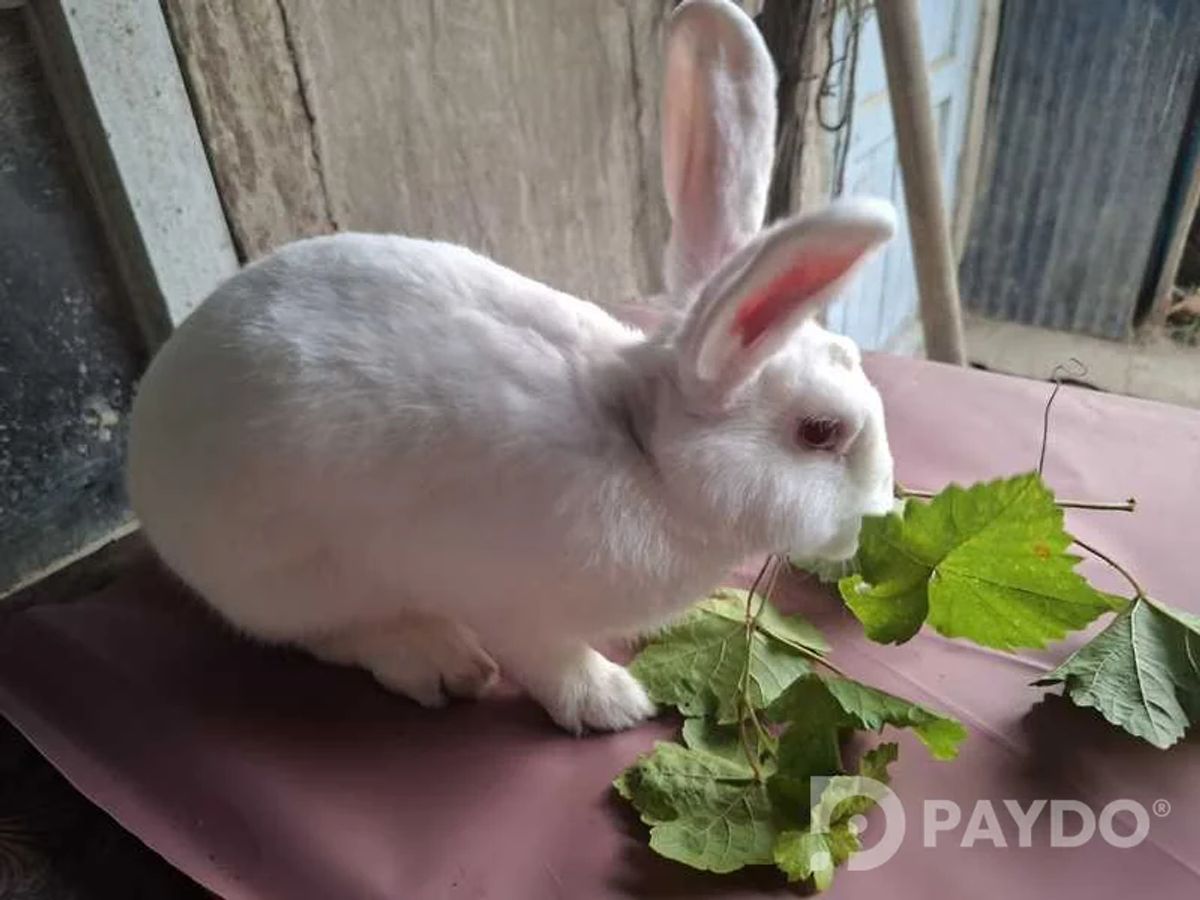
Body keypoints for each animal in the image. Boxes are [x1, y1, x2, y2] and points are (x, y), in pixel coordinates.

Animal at [126, 0, 897, 734]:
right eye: (820, 432)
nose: (879, 515)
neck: (646, 456)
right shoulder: (504, 598)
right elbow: (548, 658)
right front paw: (611, 703)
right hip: (292, 574)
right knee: (334, 632)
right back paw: (440, 662)